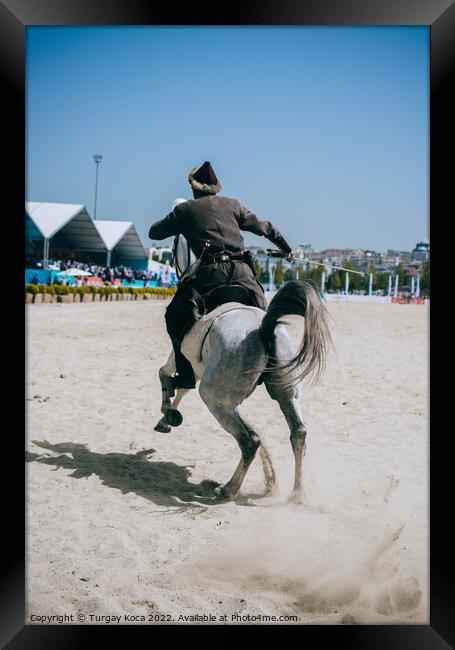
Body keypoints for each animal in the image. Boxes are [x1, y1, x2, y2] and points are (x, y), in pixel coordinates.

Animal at [154, 237, 332, 502]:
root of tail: (265, 328)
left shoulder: (181, 358)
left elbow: (165, 376)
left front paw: (167, 414)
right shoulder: (196, 368)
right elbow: (181, 387)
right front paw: (168, 415)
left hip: (217, 399)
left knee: (249, 441)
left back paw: (228, 489)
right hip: (286, 393)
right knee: (298, 433)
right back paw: (296, 493)